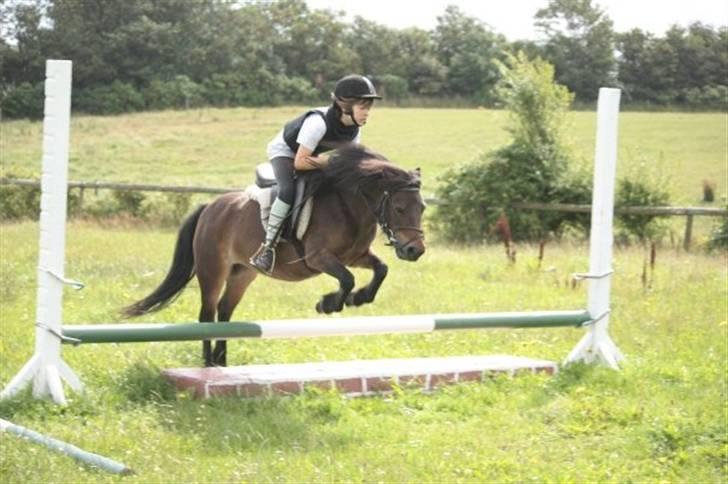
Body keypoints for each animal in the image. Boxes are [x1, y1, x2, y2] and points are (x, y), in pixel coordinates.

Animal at [122, 146, 427, 367]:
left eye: (422, 207)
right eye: (399, 208)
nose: (415, 250)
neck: (349, 206)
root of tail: (210, 206)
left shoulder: (357, 255)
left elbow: (381, 269)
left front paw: (359, 298)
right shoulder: (318, 257)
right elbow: (347, 278)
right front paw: (328, 304)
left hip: (242, 273)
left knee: (225, 312)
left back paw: (221, 363)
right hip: (213, 272)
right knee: (207, 315)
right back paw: (208, 365)